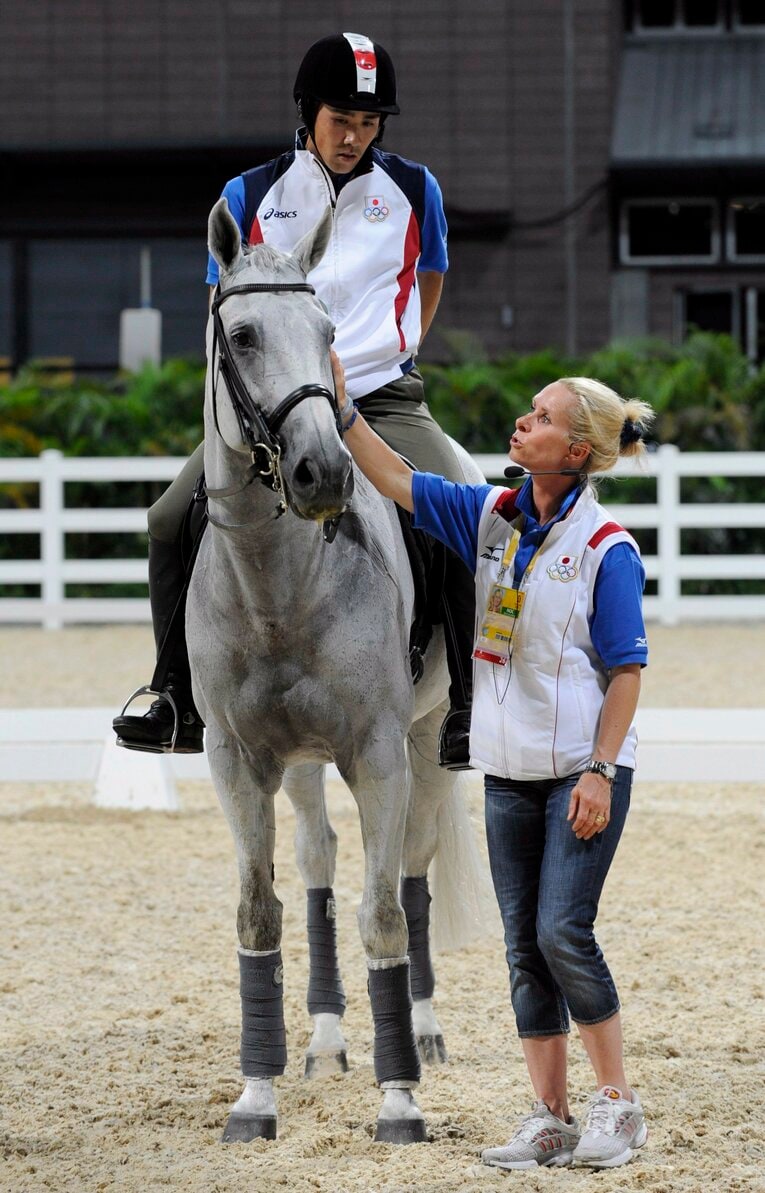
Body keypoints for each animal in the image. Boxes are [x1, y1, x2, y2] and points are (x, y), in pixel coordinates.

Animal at [188, 196, 487, 1145]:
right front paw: (255, 1096)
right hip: (301, 764)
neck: (279, 582)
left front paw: (400, 1104)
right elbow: (260, 911)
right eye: (243, 335)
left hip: (428, 745)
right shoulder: (237, 761)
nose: (323, 471)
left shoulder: (380, 754)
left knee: (413, 873)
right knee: (317, 864)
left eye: (327, 332)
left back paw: (421, 1033)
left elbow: (385, 913)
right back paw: (323, 1040)